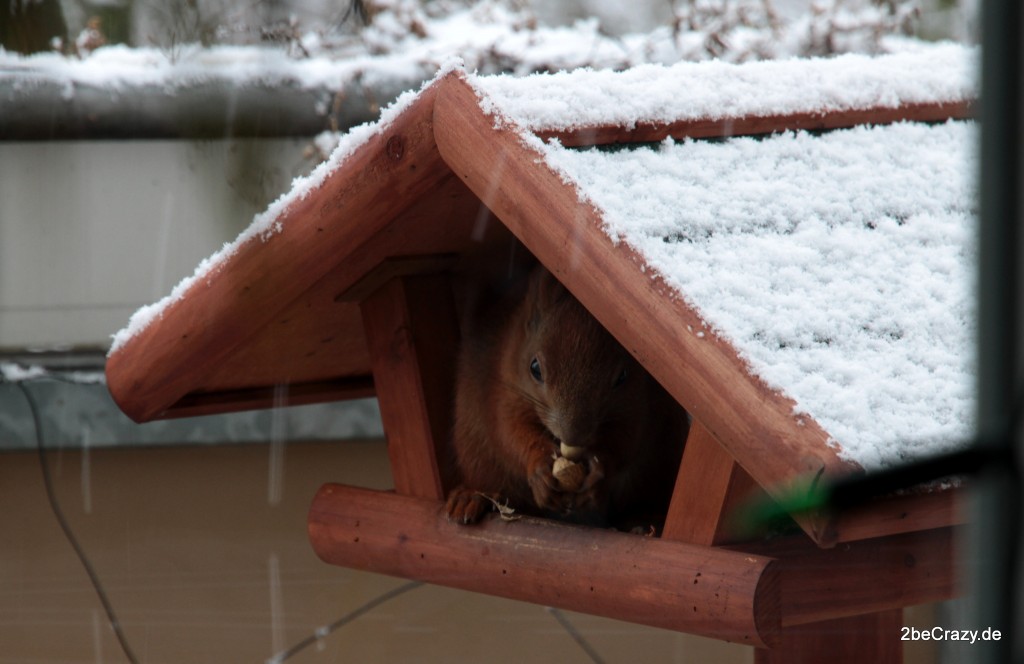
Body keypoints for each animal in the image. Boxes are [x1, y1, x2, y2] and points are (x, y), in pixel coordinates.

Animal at [442, 262, 688, 524]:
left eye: (622, 377)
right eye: (535, 368)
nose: (573, 435)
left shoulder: (637, 404)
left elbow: (628, 438)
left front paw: (598, 470)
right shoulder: (504, 389)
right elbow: (509, 431)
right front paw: (539, 466)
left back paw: (643, 519)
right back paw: (470, 497)